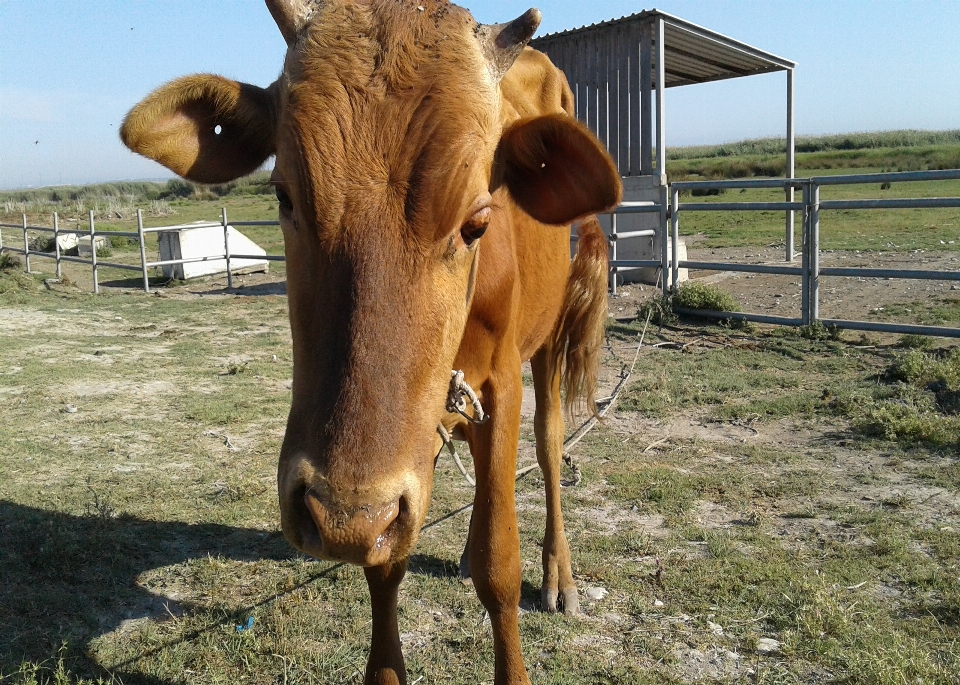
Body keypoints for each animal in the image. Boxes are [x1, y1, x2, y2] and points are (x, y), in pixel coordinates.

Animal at [122, 2, 624, 680]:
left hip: (546, 346)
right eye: (284, 195)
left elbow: (499, 567)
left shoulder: (499, 388)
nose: (339, 516)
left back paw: (559, 575)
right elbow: (386, 562)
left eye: (477, 221)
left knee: (547, 450)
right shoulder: (401, 466)